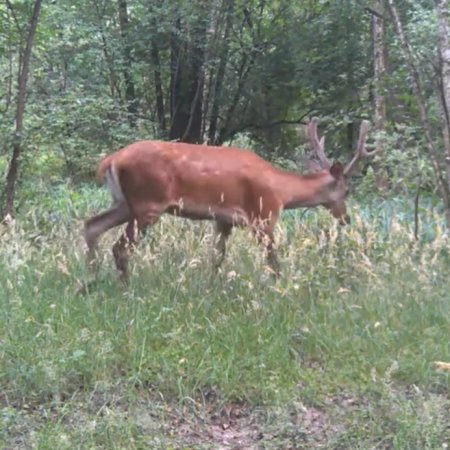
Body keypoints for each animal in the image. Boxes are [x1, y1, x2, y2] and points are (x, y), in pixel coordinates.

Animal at [82, 118, 374, 284]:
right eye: (347, 191)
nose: (346, 218)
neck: (282, 190)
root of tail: (111, 160)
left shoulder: (224, 220)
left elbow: (216, 258)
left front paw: (211, 287)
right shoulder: (263, 215)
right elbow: (273, 260)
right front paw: (282, 288)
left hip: (124, 203)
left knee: (91, 226)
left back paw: (88, 282)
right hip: (147, 203)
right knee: (119, 248)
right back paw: (124, 288)